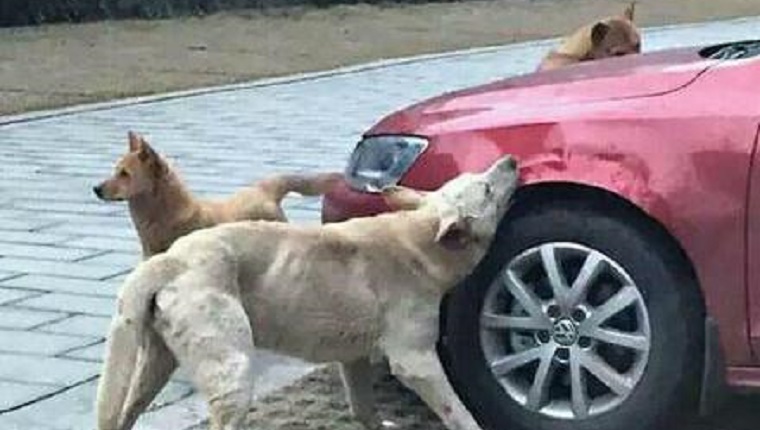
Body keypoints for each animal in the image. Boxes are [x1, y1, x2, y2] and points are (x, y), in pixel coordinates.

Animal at [95, 155, 520, 430]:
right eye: (486, 188)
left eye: (479, 176)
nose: (513, 160)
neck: (420, 237)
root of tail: (170, 259)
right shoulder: (415, 360)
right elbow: (460, 414)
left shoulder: (354, 359)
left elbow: (364, 409)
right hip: (232, 369)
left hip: (153, 365)